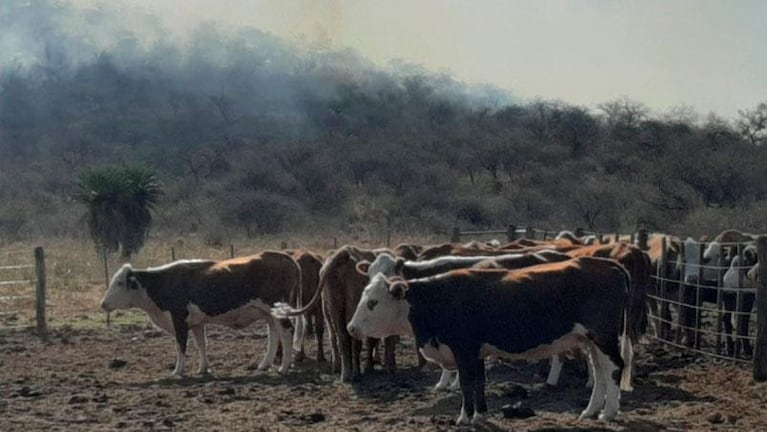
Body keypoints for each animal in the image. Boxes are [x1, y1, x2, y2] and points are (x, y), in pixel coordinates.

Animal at [97, 251, 302, 376]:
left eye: (119, 283)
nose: (103, 304)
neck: (164, 283)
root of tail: (279, 255)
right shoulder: (196, 323)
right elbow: (201, 344)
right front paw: (203, 368)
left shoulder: (179, 319)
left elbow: (180, 346)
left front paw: (178, 370)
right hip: (270, 314)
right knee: (274, 335)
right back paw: (264, 364)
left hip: (276, 310)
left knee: (286, 332)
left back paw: (283, 367)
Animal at [346, 256, 632, 426]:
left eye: (372, 302)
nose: (351, 328)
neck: (436, 298)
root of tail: (608, 264)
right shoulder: (477, 352)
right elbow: (479, 383)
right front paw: (480, 415)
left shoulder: (463, 350)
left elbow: (467, 384)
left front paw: (464, 417)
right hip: (592, 341)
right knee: (600, 371)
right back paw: (591, 411)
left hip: (604, 338)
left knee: (614, 368)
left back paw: (609, 412)